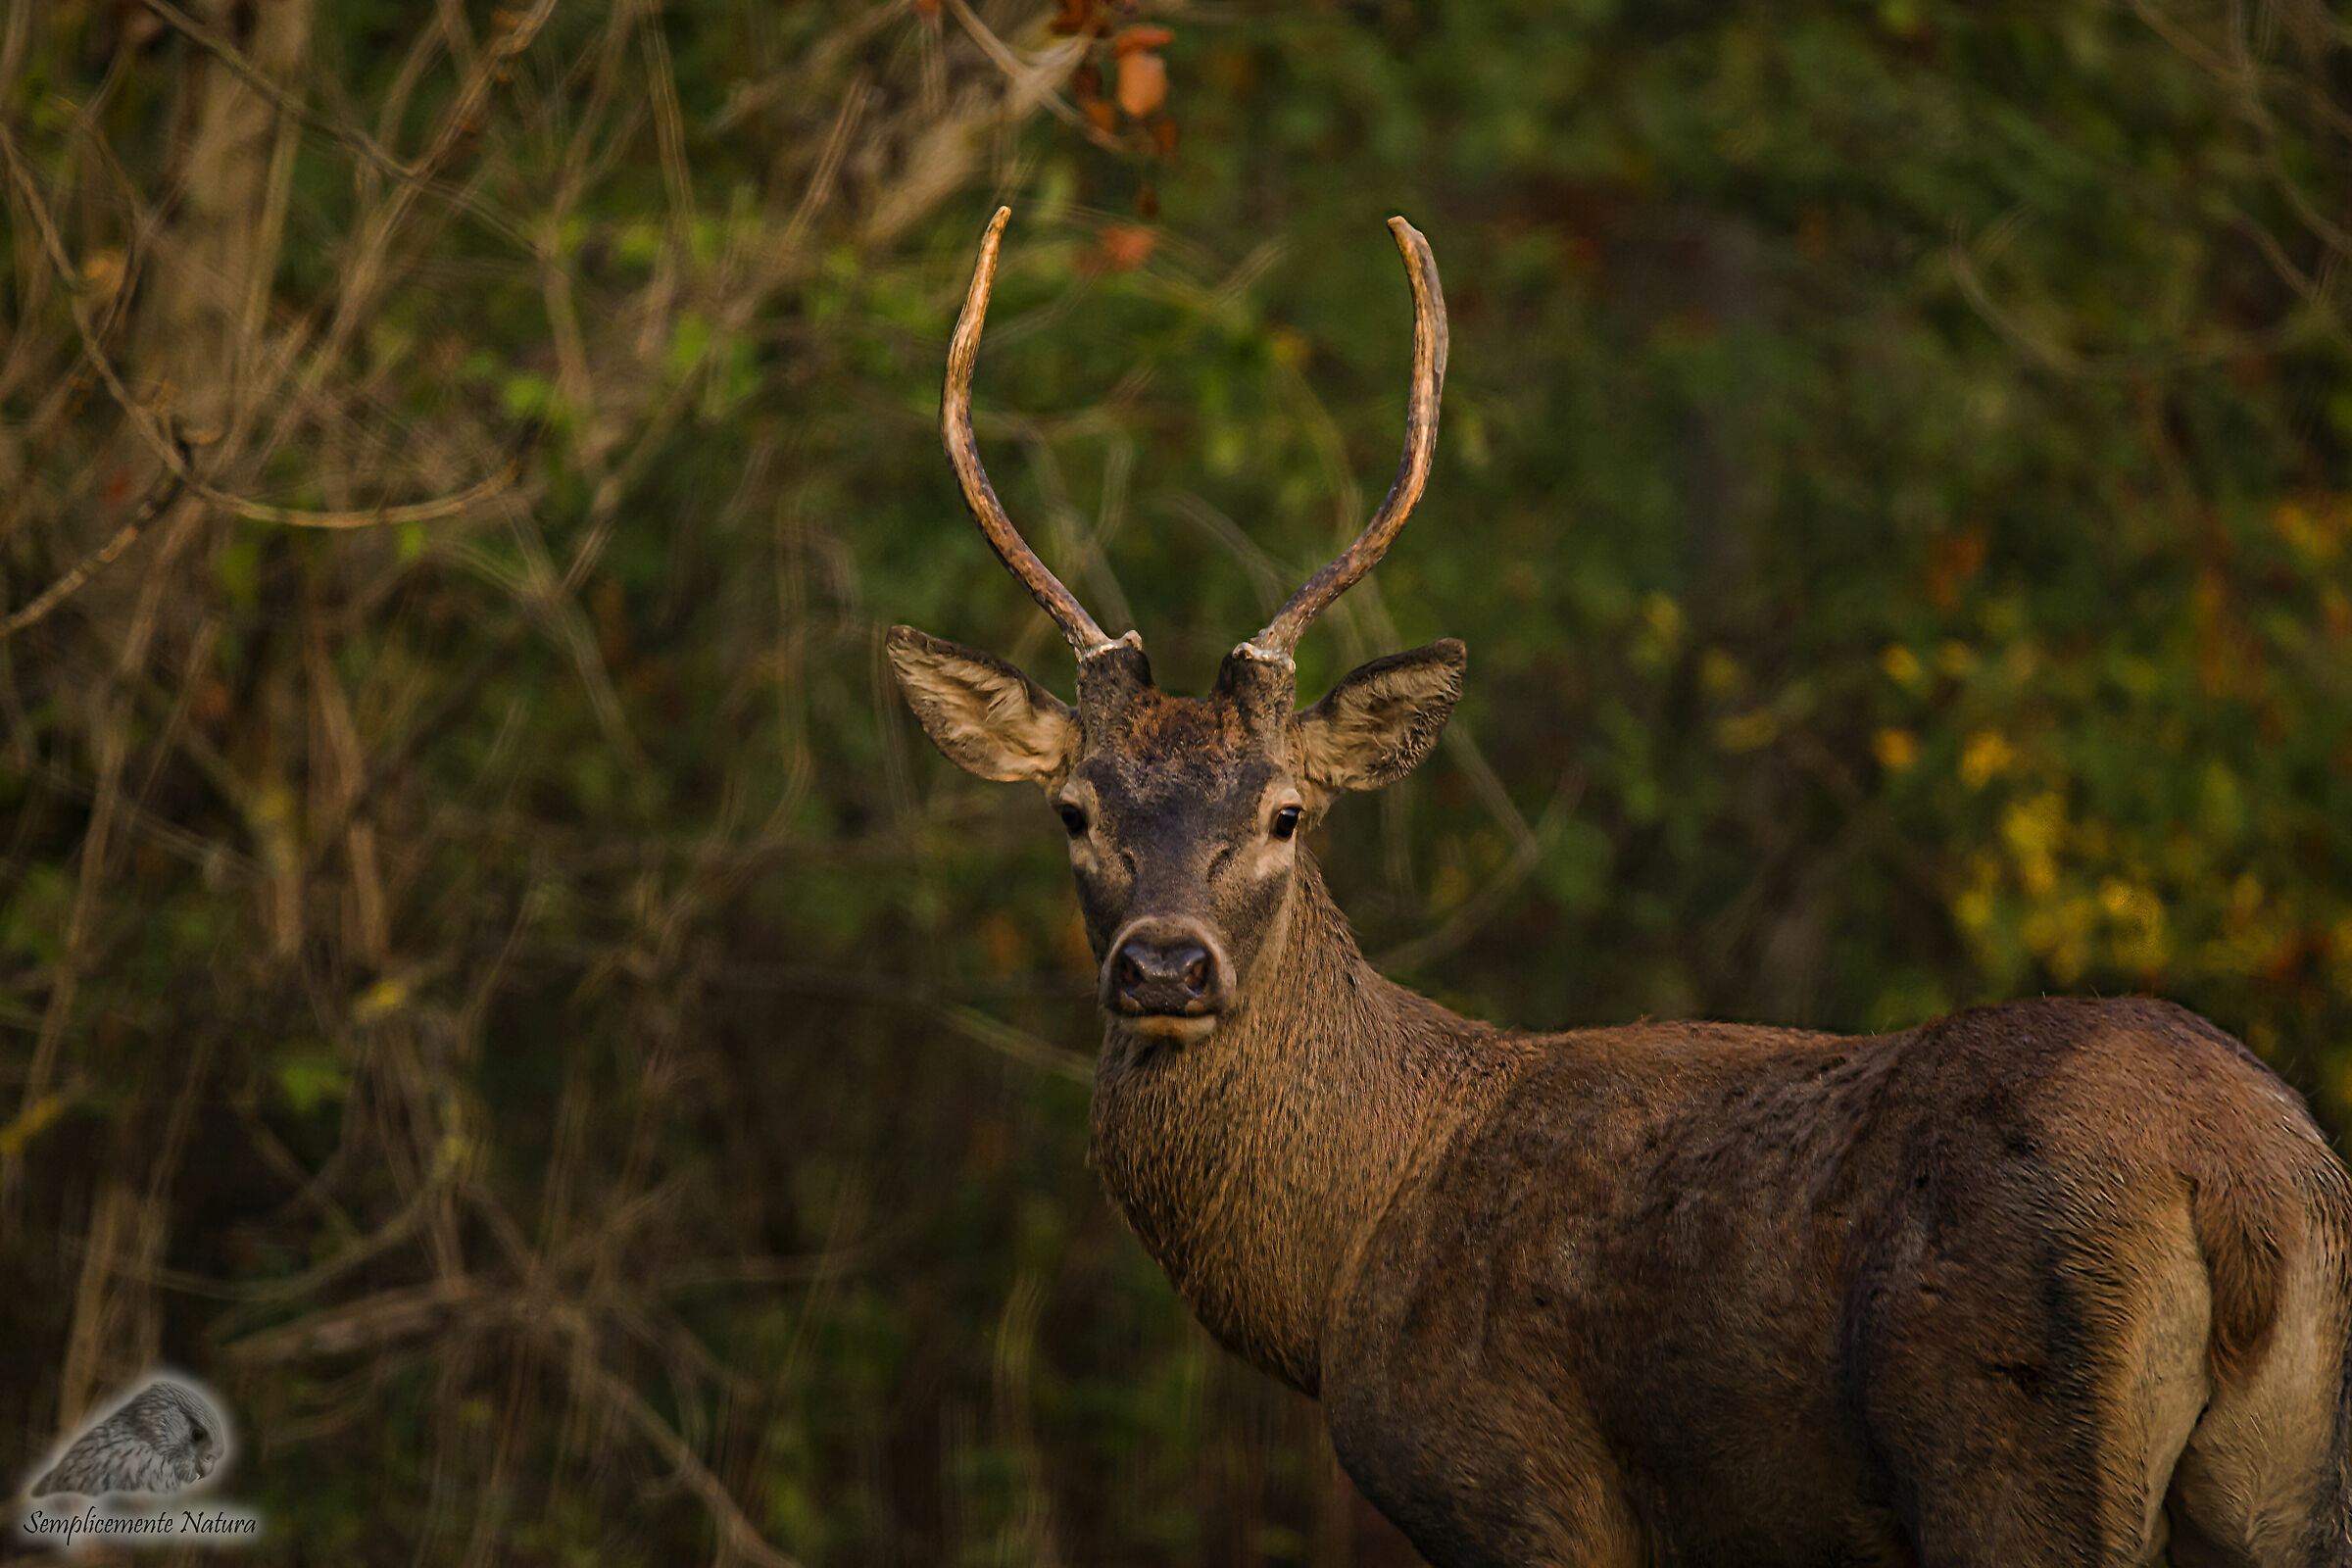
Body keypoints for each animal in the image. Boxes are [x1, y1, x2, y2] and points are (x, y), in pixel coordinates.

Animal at [886, 206, 2352, 1568]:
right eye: (1074, 810)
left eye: (1285, 813)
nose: (1165, 966)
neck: (1347, 1254)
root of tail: (2245, 1191)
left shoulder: (1522, 1488)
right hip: (2289, 1471)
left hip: (2015, 1447)